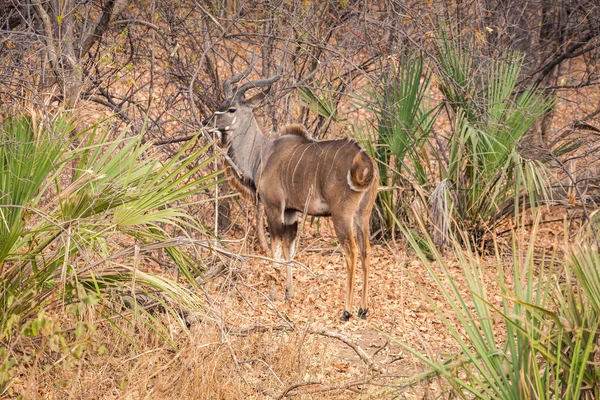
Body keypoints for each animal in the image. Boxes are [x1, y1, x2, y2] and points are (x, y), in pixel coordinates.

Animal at [204, 69, 378, 322]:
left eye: (232, 109)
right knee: (366, 251)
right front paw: (288, 292)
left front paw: (273, 292)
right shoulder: (291, 212)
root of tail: (365, 162)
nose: (207, 122)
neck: (263, 154)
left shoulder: (274, 207)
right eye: (221, 104)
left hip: (341, 217)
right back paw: (363, 309)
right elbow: (290, 248)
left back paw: (346, 311)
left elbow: (275, 246)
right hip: (362, 215)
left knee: (351, 252)